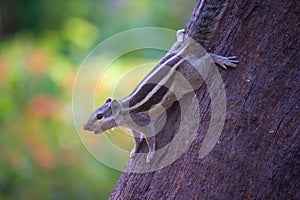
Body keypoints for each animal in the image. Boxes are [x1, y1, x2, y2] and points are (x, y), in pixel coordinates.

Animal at [83, 0, 238, 162]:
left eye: (99, 116)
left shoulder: (141, 121)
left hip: (190, 77)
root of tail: (183, 52)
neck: (123, 111)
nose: (85, 127)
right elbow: (137, 139)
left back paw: (218, 59)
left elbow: (150, 136)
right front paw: (134, 150)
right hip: (176, 50)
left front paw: (151, 153)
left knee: (206, 60)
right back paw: (181, 34)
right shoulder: (133, 128)